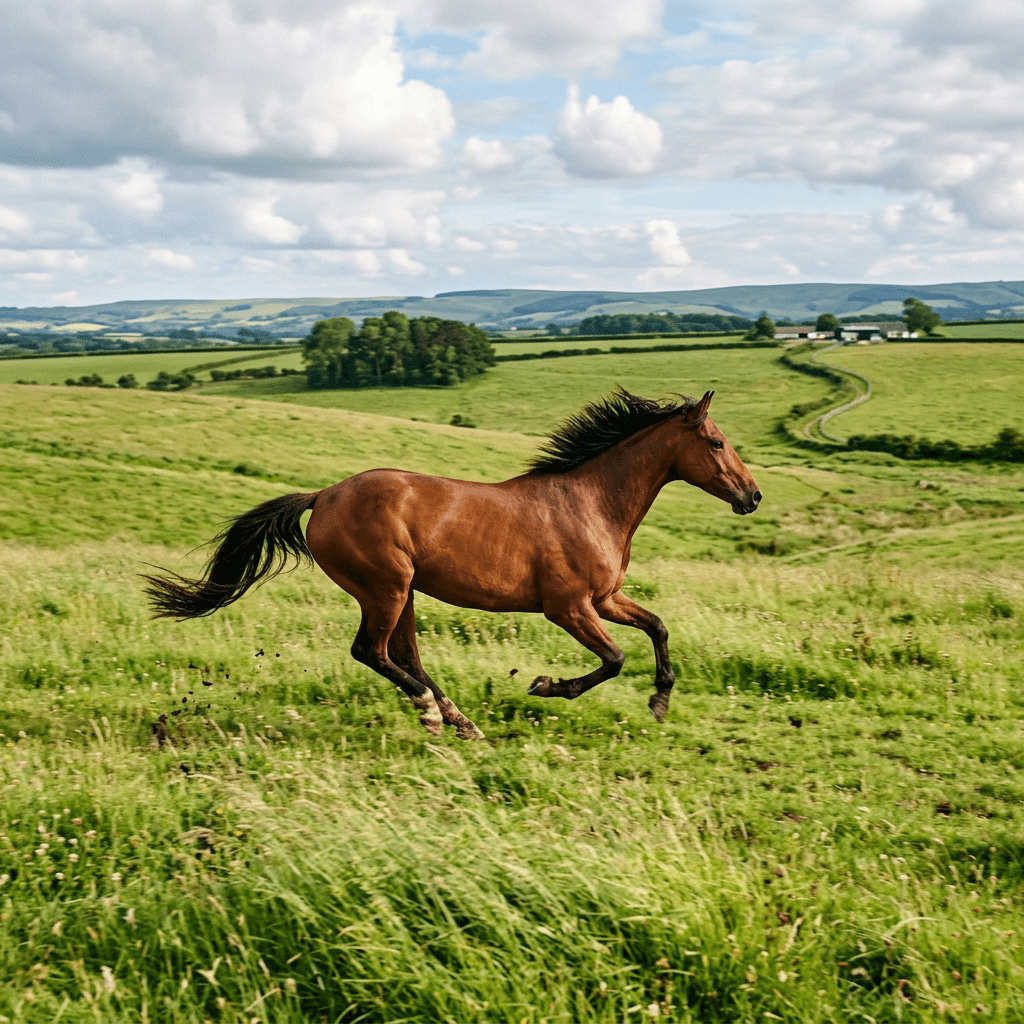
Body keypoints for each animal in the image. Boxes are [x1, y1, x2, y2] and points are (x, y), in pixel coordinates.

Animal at [144, 387, 761, 739]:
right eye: (715, 442)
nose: (752, 496)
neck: (590, 503)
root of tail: (323, 496)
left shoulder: (605, 599)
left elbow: (657, 627)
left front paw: (660, 701)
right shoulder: (568, 607)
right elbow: (613, 659)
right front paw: (545, 685)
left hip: (403, 592)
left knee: (403, 654)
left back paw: (459, 720)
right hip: (386, 587)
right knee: (372, 652)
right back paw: (434, 714)